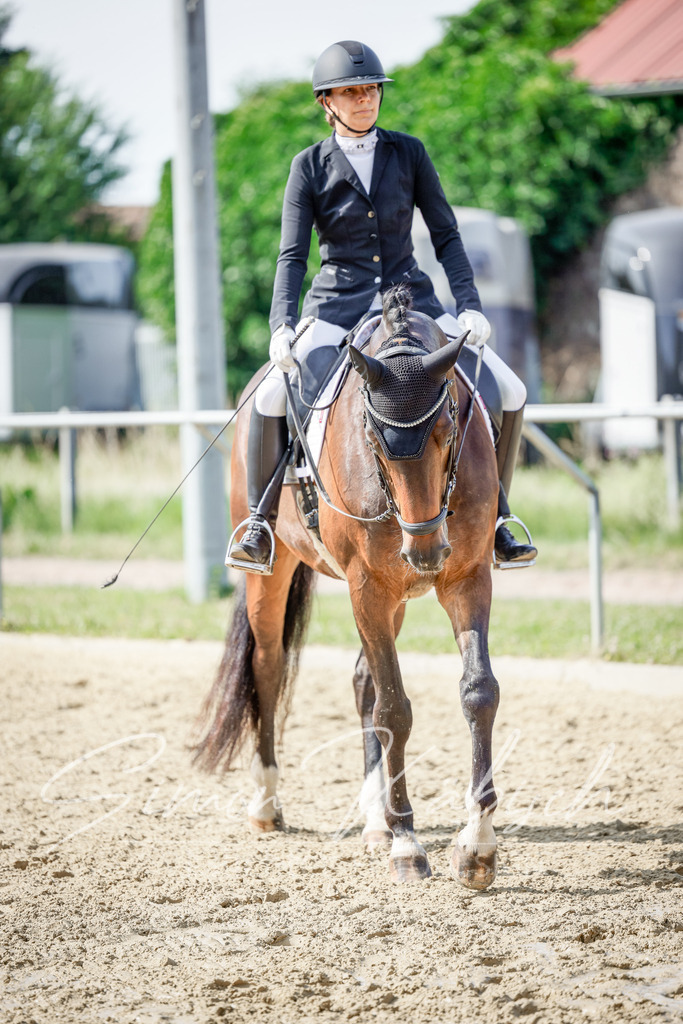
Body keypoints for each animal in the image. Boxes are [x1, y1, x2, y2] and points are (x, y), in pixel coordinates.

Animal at [194, 285, 501, 889]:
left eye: (447, 430)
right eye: (373, 441)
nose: (425, 552)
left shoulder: (467, 578)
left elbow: (477, 692)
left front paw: (476, 846)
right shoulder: (368, 586)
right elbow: (395, 710)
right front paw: (408, 844)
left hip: (396, 594)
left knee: (363, 681)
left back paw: (373, 819)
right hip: (280, 572)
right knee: (268, 665)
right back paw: (268, 803)